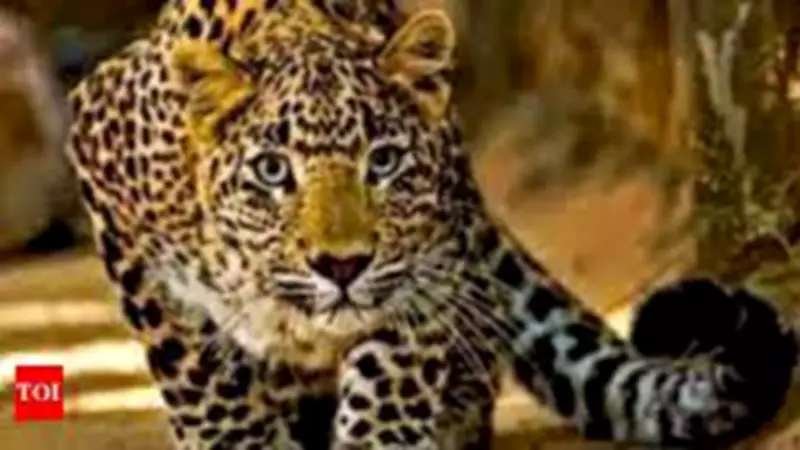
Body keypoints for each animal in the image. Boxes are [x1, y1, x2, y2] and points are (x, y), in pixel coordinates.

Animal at [65, 0, 798, 448]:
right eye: (273, 171)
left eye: (384, 162)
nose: (341, 266)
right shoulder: (106, 174)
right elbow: (201, 378)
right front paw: (230, 433)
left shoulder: (426, 268)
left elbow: (390, 380)